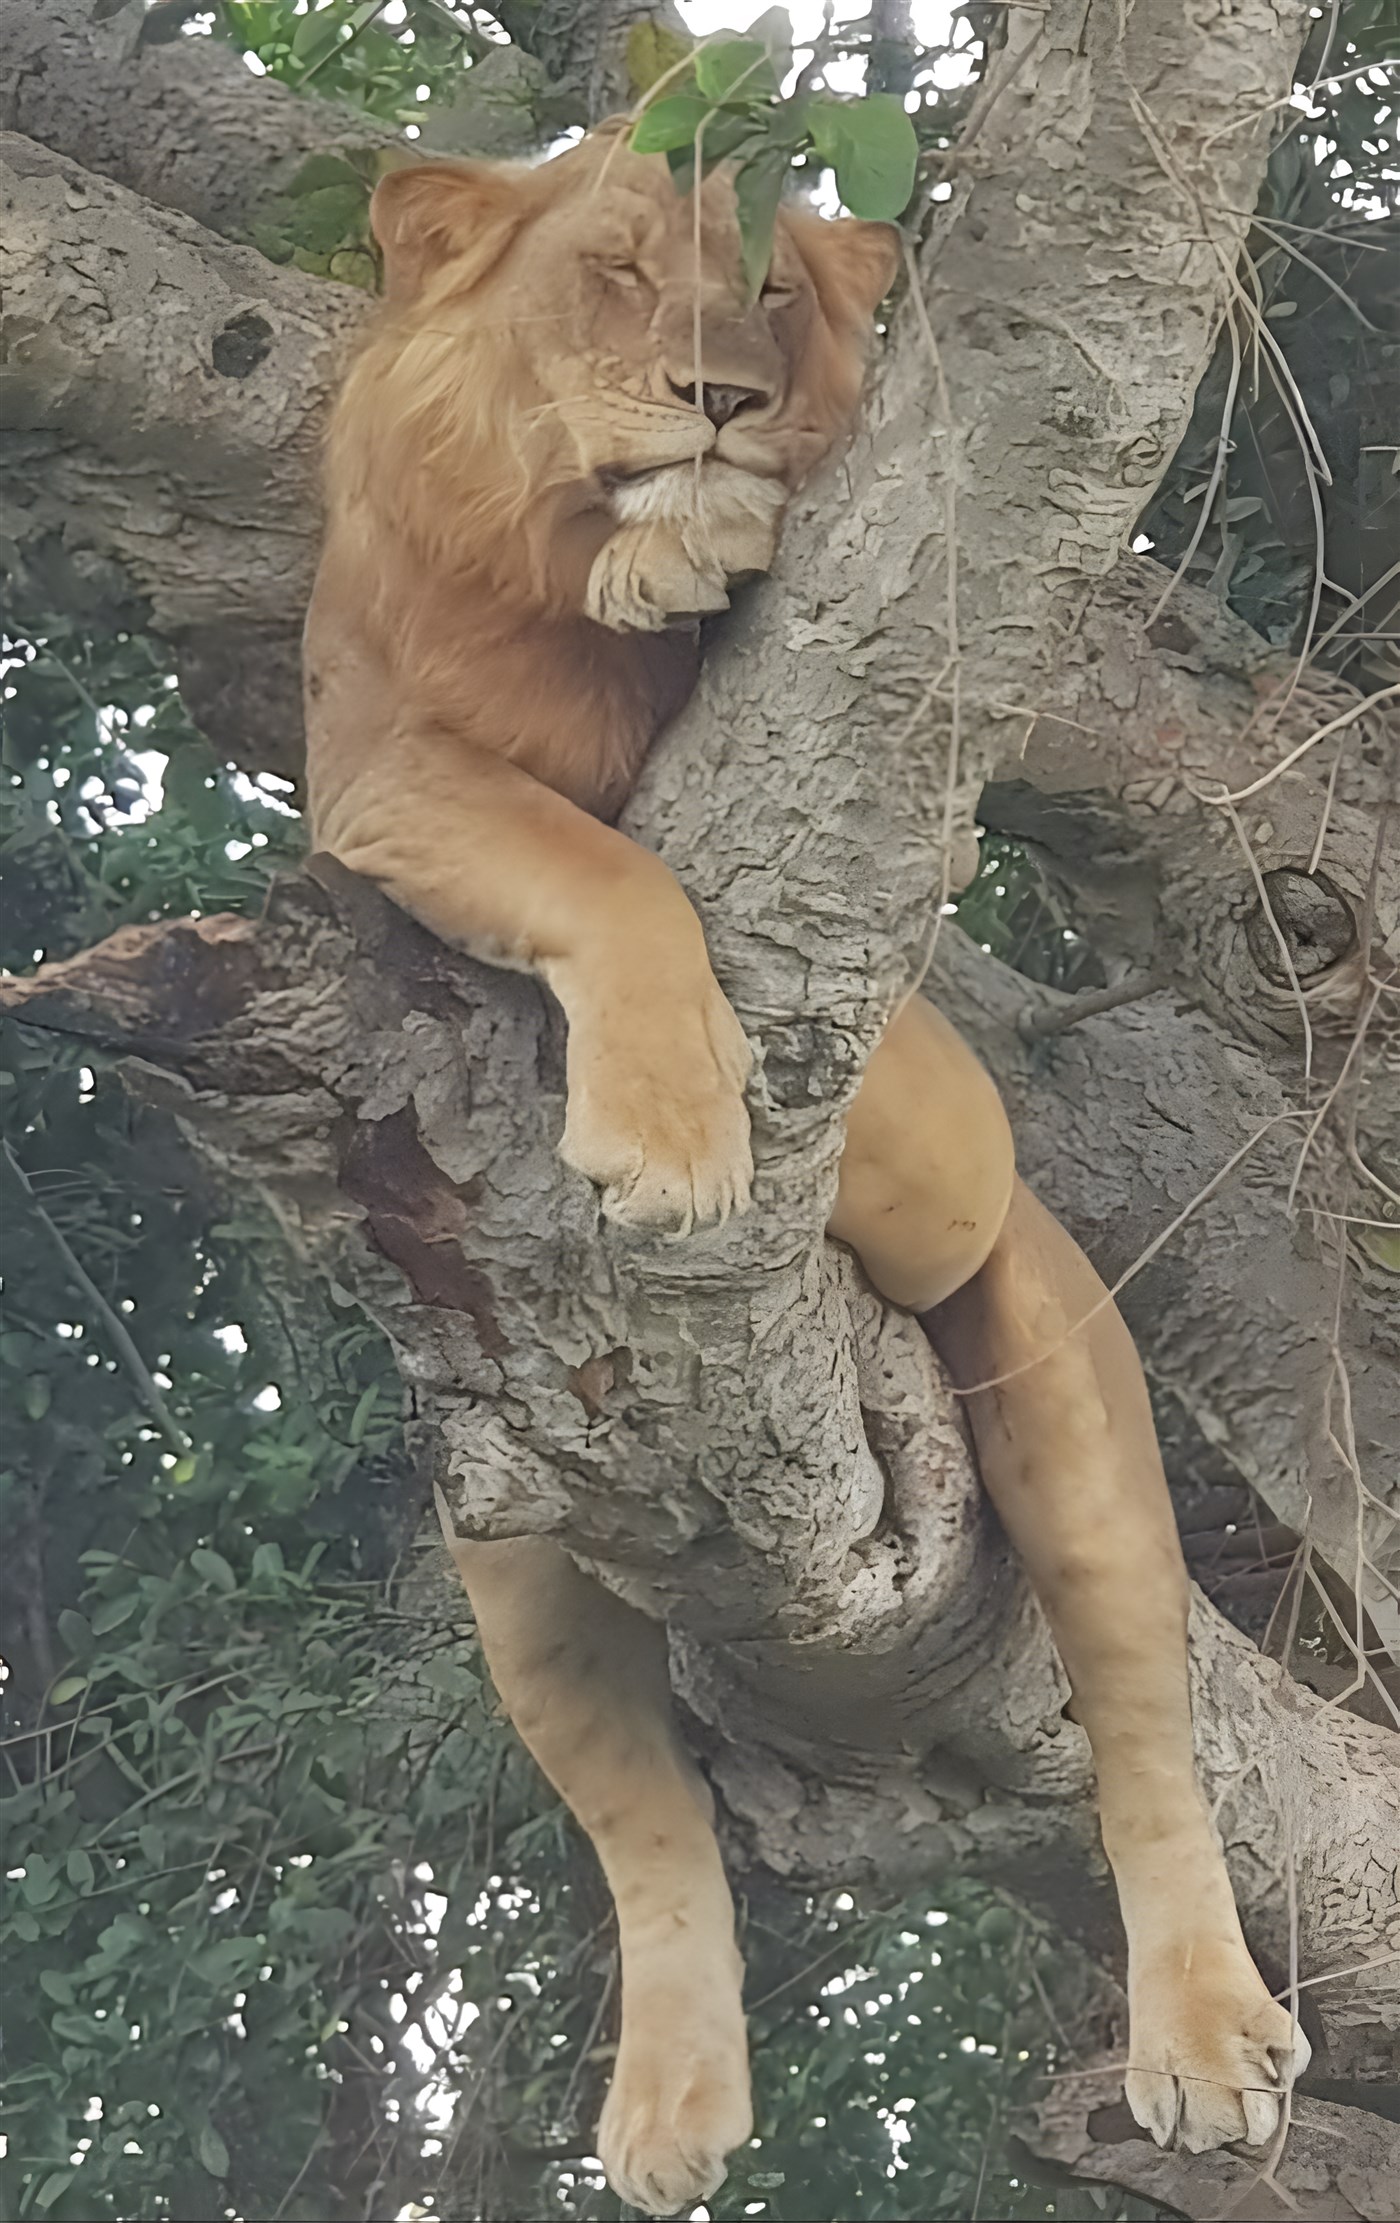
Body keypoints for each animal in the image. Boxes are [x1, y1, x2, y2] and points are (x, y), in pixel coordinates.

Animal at [305, 127, 1308, 2217]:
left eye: (768, 287)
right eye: (616, 273)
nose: (721, 403)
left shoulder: (923, 1016)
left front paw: (700, 533)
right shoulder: (367, 761)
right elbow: (592, 854)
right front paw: (676, 1145)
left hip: (1064, 1382)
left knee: (1149, 1736)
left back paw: (1205, 2038)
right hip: (510, 1543)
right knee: (649, 1831)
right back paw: (669, 2106)